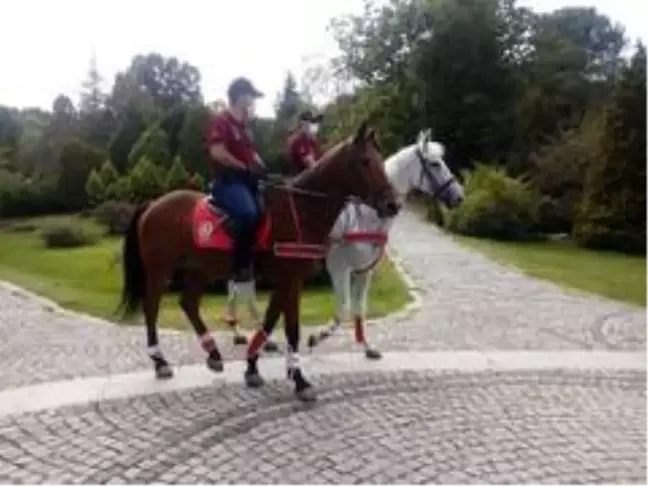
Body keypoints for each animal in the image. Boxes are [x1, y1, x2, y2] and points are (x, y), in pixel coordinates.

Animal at [118, 122, 398, 402]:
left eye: (381, 160)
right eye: (364, 161)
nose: (392, 204)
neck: (302, 209)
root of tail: (153, 204)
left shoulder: (290, 281)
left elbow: (271, 321)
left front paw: (253, 366)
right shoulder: (291, 279)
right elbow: (291, 328)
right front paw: (299, 380)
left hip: (199, 268)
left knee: (188, 304)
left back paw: (213, 353)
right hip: (159, 270)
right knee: (151, 308)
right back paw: (160, 361)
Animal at [224, 129, 466, 356]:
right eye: (435, 163)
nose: (459, 196)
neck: (366, 216)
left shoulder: (364, 270)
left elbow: (360, 308)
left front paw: (366, 346)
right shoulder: (339, 267)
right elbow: (345, 308)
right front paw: (317, 336)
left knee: (238, 290)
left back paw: (241, 332)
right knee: (243, 292)